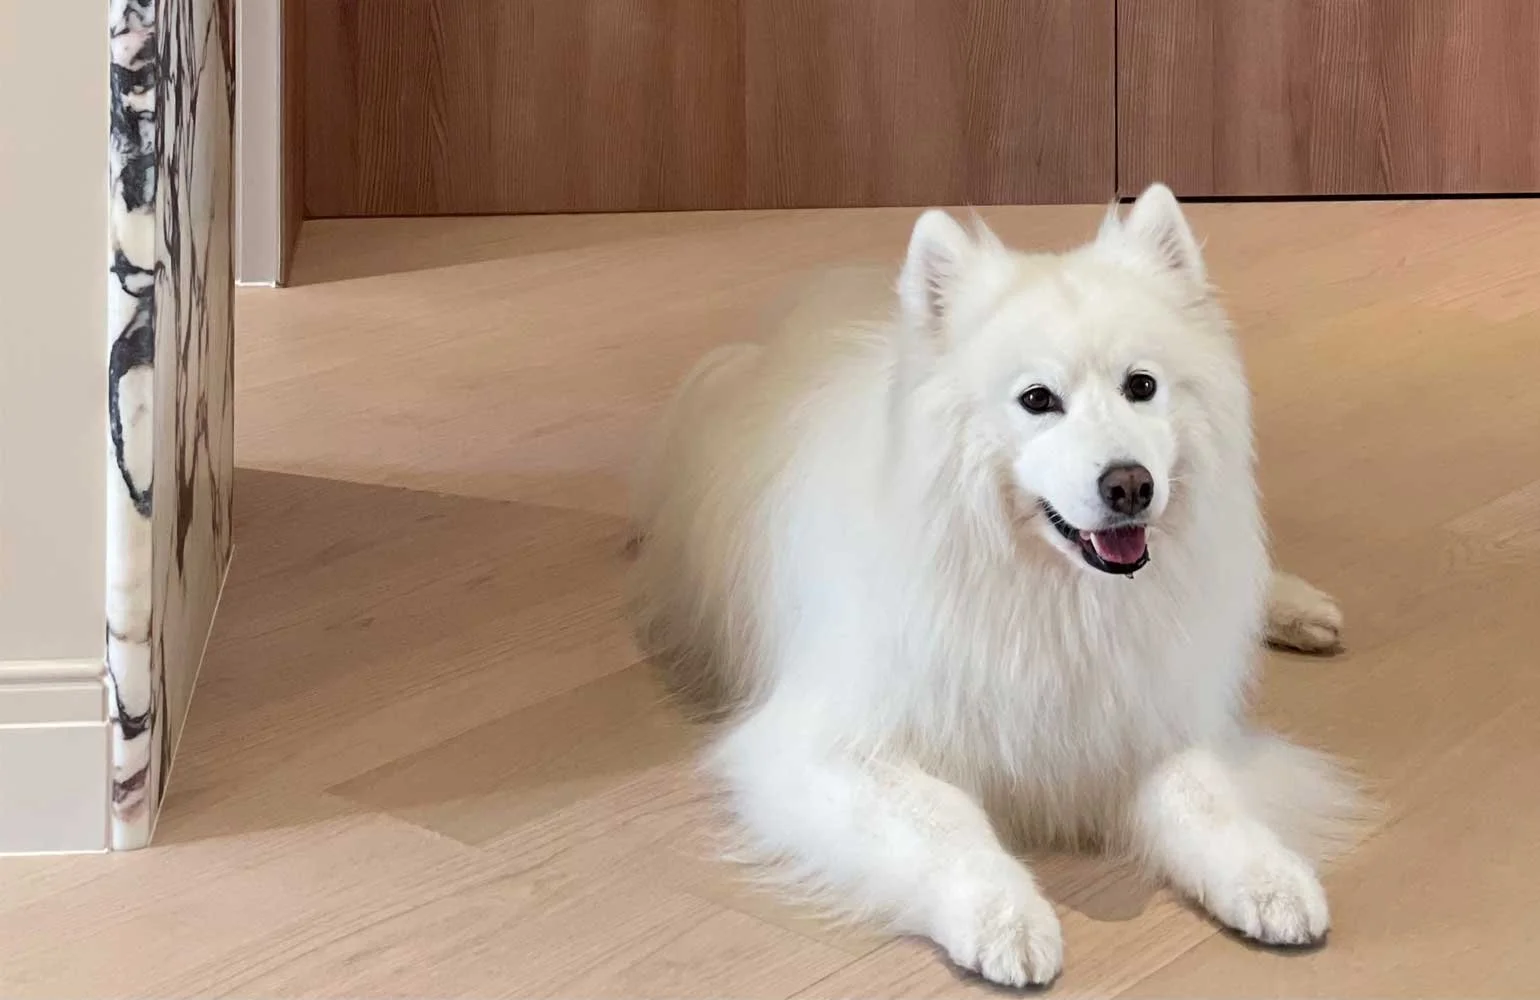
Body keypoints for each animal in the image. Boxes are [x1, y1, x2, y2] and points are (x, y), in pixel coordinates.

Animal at [630, 185, 1363, 987]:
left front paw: (1271, 878)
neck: (1053, 595)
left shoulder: (1148, 716)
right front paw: (1005, 919)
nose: (1131, 485)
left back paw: (1298, 609)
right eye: (1037, 400)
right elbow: (947, 825)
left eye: (1142, 387)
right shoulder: (830, 748)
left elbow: (1206, 800)